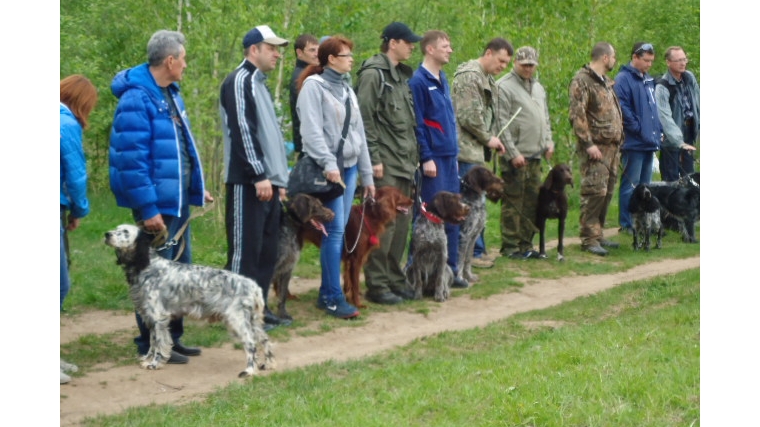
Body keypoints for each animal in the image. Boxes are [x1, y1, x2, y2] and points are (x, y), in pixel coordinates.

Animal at [104, 224, 274, 378]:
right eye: (116, 228)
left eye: (125, 232)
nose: (107, 234)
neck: (147, 266)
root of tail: (252, 285)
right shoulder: (150, 317)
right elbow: (152, 343)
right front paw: (147, 360)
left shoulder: (158, 317)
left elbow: (159, 344)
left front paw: (155, 363)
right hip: (252, 320)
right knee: (264, 339)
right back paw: (268, 364)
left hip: (237, 320)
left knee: (251, 344)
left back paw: (249, 370)